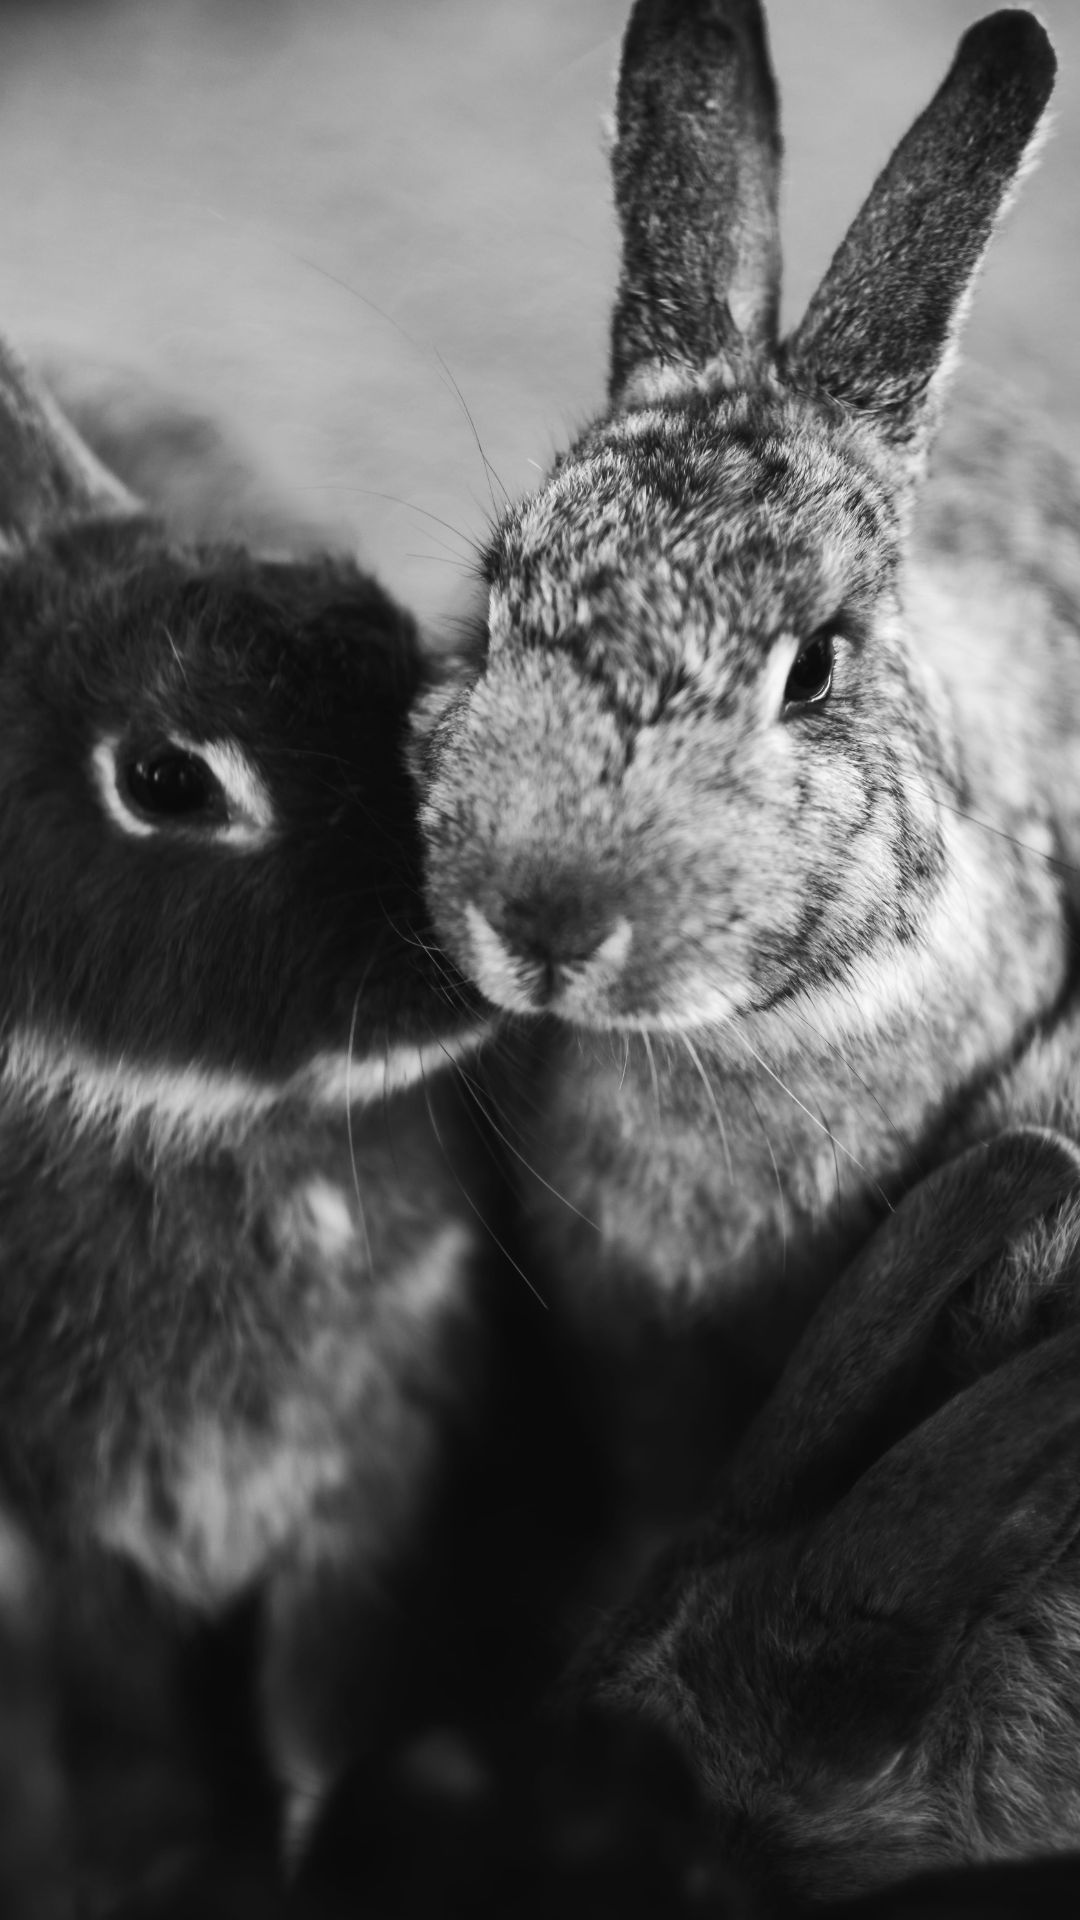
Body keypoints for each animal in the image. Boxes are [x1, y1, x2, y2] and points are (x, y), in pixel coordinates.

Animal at [0, 326, 505, 1893]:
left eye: (393, 640)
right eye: (167, 779)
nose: (469, 940)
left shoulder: (372, 1479)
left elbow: (315, 1707)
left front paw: (295, 1851)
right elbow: (109, 1732)